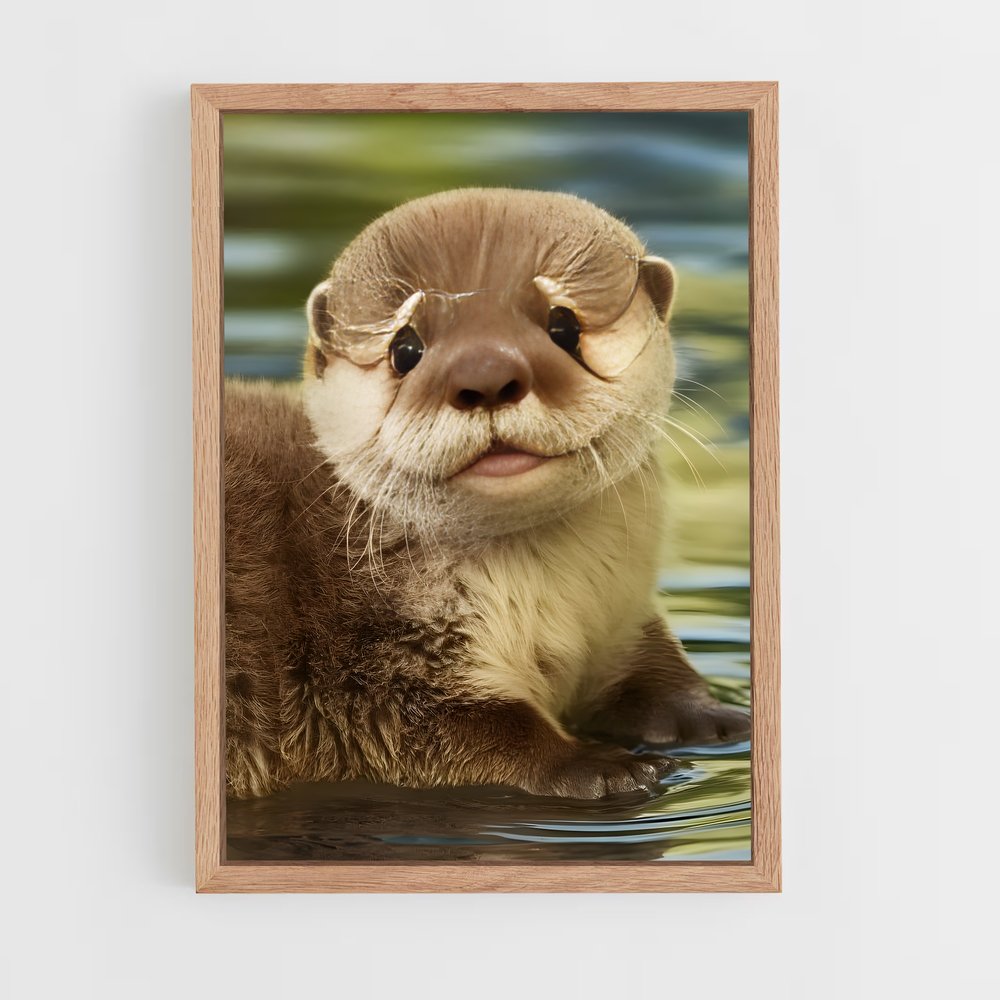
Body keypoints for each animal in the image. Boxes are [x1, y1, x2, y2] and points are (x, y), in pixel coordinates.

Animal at [224, 188, 749, 801]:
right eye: (406, 347)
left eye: (563, 326)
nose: (486, 373)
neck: (544, 600)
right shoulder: (366, 661)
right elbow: (448, 728)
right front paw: (602, 766)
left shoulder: (619, 615)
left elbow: (658, 672)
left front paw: (716, 717)